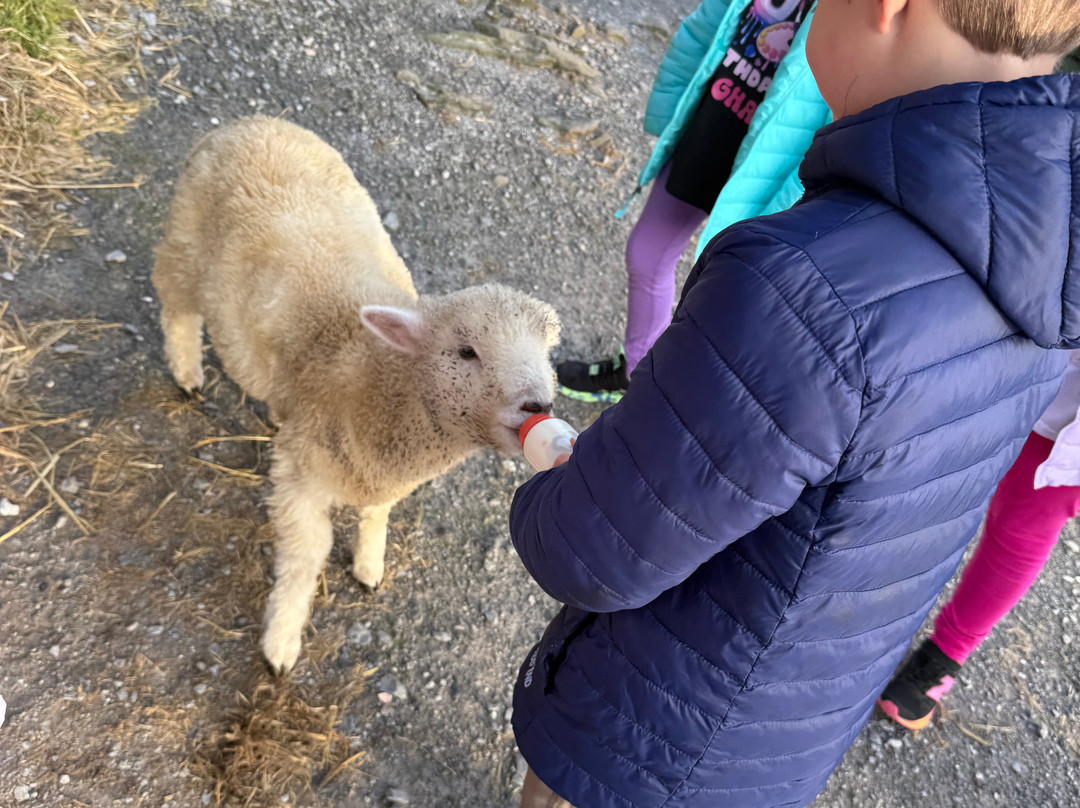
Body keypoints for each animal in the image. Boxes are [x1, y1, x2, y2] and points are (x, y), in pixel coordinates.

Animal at [152, 116, 561, 673]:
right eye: (466, 351)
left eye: (549, 350)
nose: (538, 405)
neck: (381, 381)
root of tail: (251, 123)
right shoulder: (302, 476)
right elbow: (306, 554)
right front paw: (282, 638)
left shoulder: (376, 472)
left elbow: (376, 513)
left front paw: (369, 562)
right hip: (184, 246)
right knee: (177, 309)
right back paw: (187, 370)